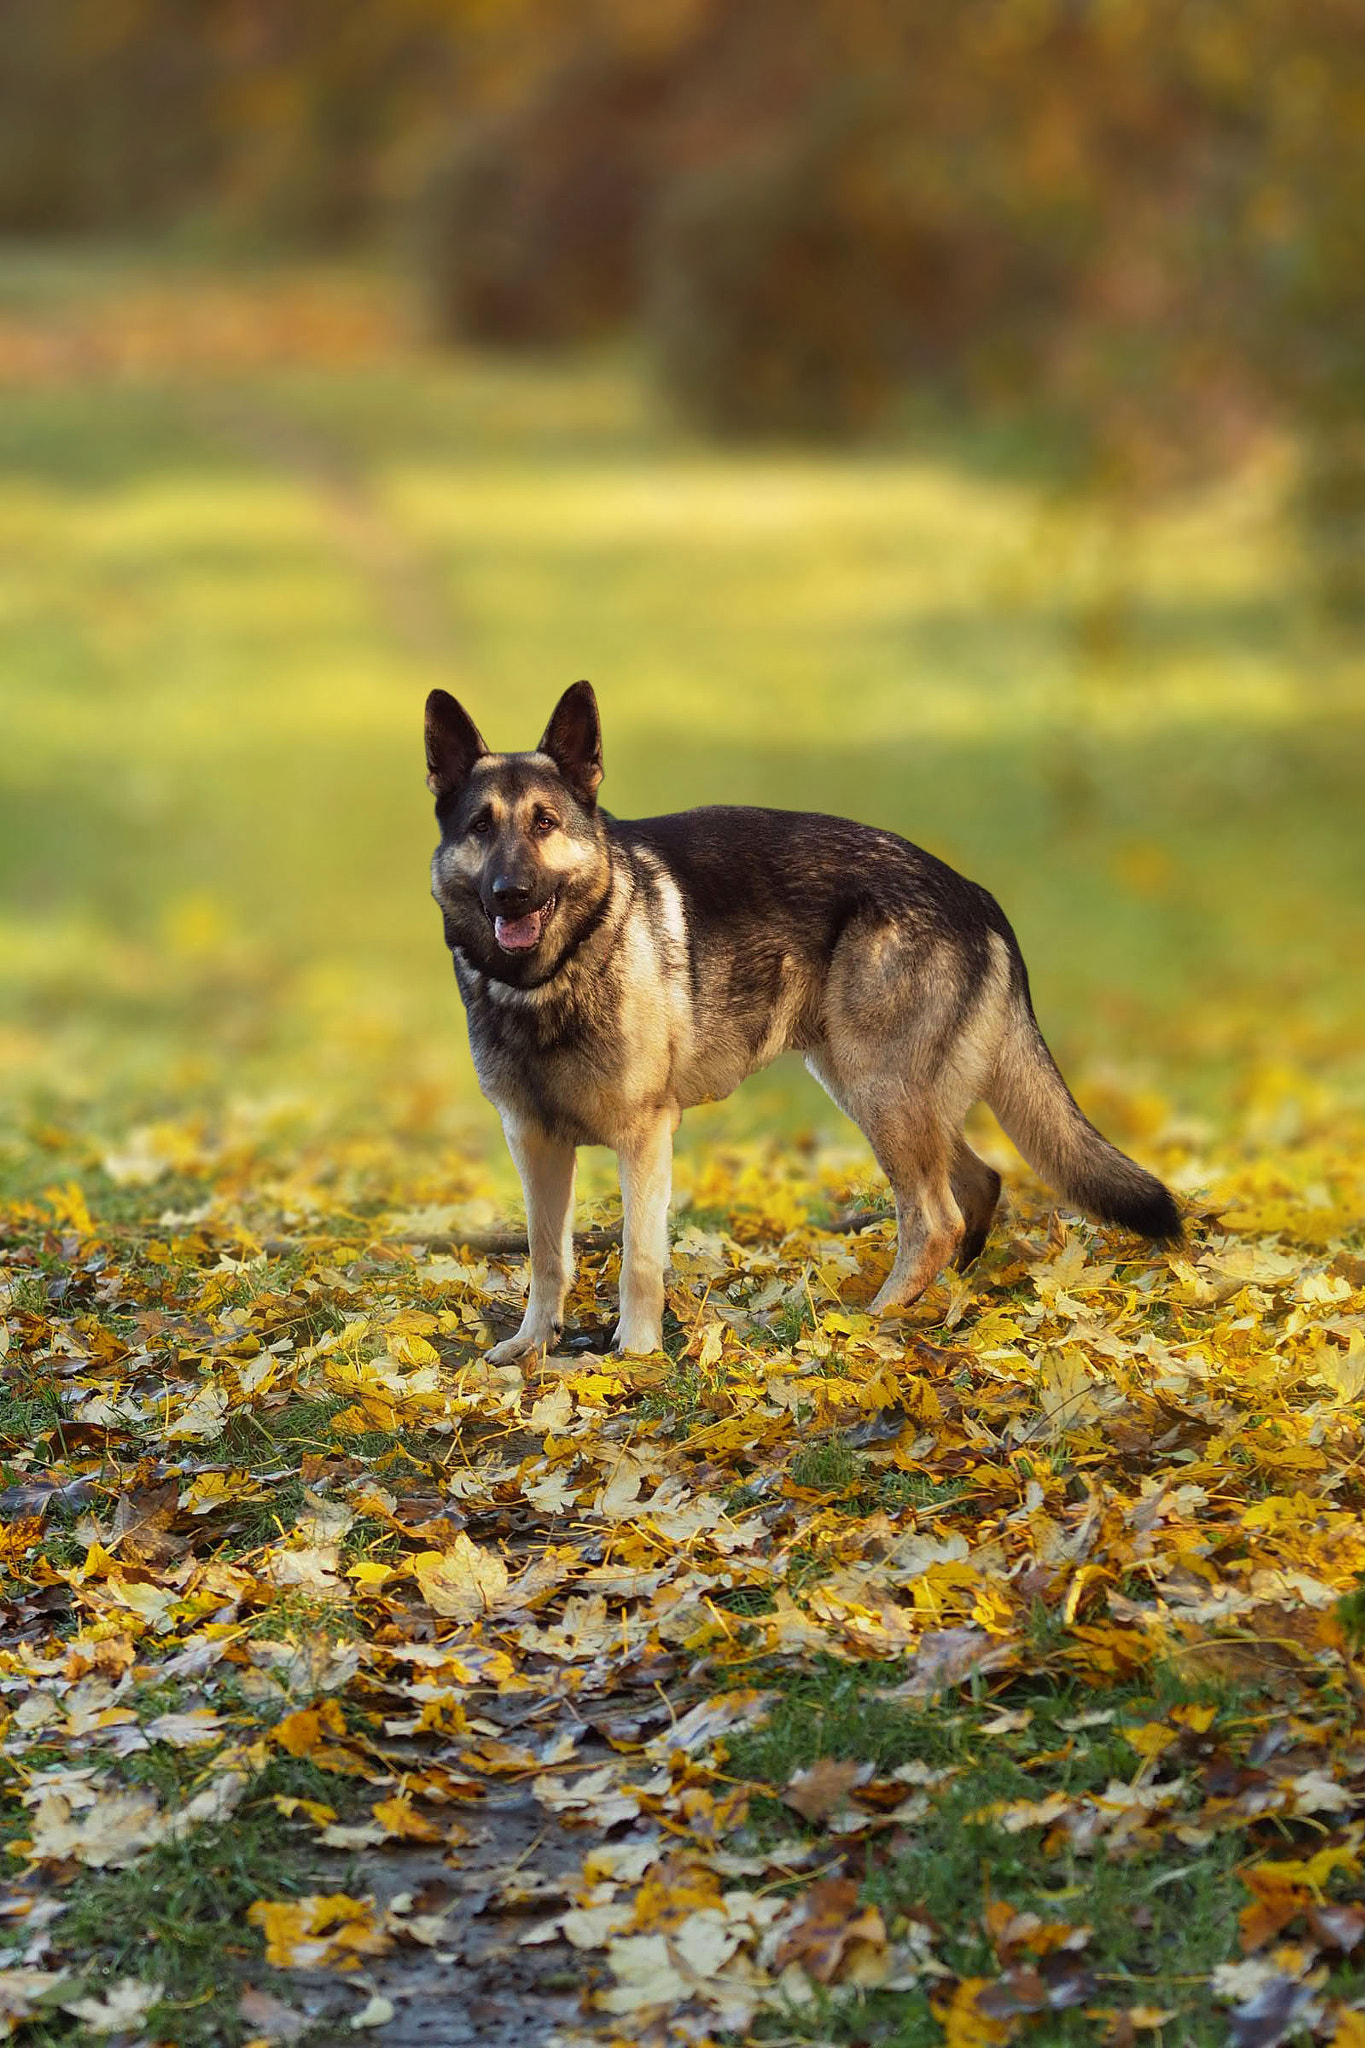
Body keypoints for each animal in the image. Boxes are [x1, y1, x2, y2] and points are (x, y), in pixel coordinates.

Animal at [429, 679, 1186, 1368]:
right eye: (480, 827)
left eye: (545, 823)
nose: (511, 894)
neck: (544, 980)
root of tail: (972, 891)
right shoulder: (533, 1142)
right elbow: (546, 1255)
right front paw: (532, 1344)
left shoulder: (642, 1138)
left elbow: (638, 1256)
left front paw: (637, 1353)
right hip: (877, 1090)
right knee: (977, 1184)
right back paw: (952, 1296)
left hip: (877, 1093)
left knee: (933, 1218)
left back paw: (875, 1321)